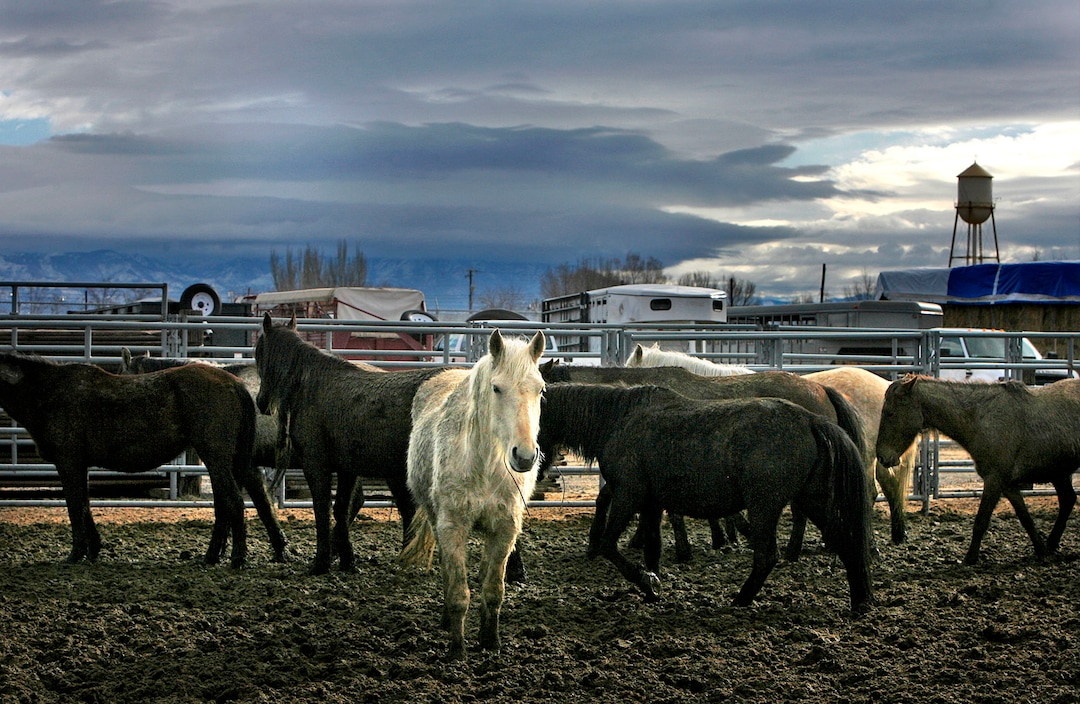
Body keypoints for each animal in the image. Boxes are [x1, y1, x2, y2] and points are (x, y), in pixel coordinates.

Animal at [0, 351, 287, 567]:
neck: (50, 391)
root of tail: (234, 384)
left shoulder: (67, 463)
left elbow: (75, 507)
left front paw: (76, 553)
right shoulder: (79, 466)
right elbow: (84, 505)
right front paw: (92, 550)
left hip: (217, 460)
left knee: (234, 503)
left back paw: (236, 558)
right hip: (232, 461)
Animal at [253, 313, 447, 575]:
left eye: (259, 352)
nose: (261, 402)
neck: (311, 383)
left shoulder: (316, 465)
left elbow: (322, 508)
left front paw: (321, 562)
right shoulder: (347, 469)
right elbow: (341, 509)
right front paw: (347, 560)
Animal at [399, 330, 546, 660]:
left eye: (540, 389)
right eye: (496, 388)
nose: (525, 456)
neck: (485, 466)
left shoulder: (505, 530)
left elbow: (493, 590)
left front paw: (491, 642)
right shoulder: (452, 527)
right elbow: (457, 591)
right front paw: (457, 650)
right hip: (436, 520)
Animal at [538, 382, 875, 612]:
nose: (535, 469)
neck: (620, 419)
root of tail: (811, 420)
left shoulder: (628, 496)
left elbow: (609, 545)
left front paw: (646, 581)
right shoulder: (651, 503)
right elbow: (652, 549)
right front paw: (652, 588)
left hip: (764, 507)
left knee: (767, 556)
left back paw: (740, 600)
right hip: (811, 500)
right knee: (845, 540)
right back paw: (860, 600)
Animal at [877, 375, 1080, 565]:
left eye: (890, 413)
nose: (882, 457)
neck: (980, 420)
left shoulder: (994, 480)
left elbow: (981, 521)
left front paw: (970, 557)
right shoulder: (1008, 485)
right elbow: (1025, 518)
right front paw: (1042, 551)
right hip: (1059, 474)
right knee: (1068, 500)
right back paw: (1051, 544)